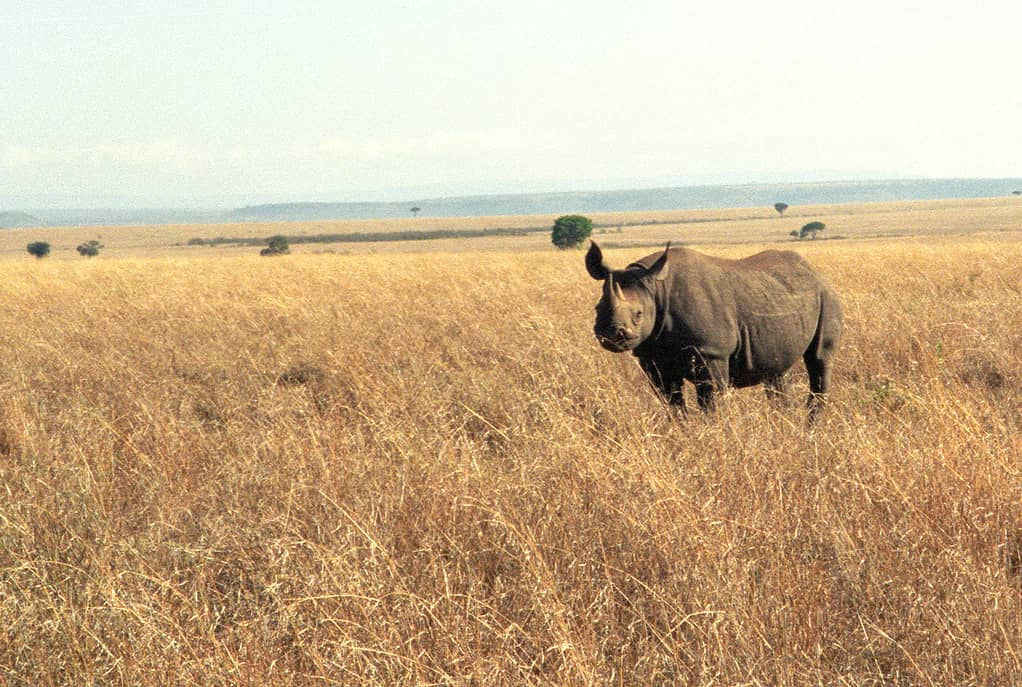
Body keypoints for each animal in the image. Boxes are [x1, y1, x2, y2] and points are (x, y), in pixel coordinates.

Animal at [586, 241, 842, 420]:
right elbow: (671, 401)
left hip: (827, 296)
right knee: (777, 371)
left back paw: (811, 428)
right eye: (597, 308)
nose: (613, 334)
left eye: (639, 314)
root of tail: (815, 272)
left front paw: (713, 435)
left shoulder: (711, 353)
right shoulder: (653, 356)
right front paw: (682, 435)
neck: (657, 290)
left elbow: (711, 402)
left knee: (819, 360)